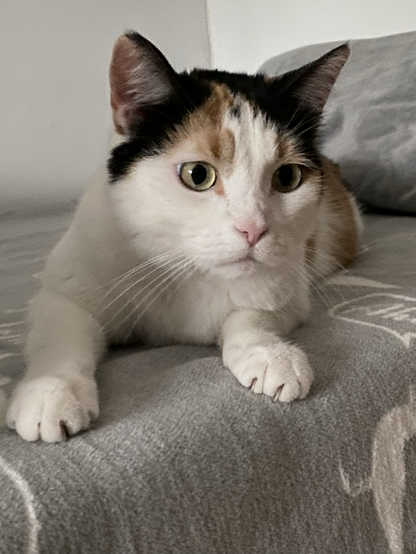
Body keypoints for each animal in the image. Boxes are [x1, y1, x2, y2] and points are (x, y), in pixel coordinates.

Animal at [7, 32, 360, 442]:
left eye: (287, 178)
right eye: (197, 175)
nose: (253, 228)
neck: (183, 268)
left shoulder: (290, 287)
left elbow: (253, 316)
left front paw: (270, 354)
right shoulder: (61, 291)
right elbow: (61, 335)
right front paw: (51, 392)